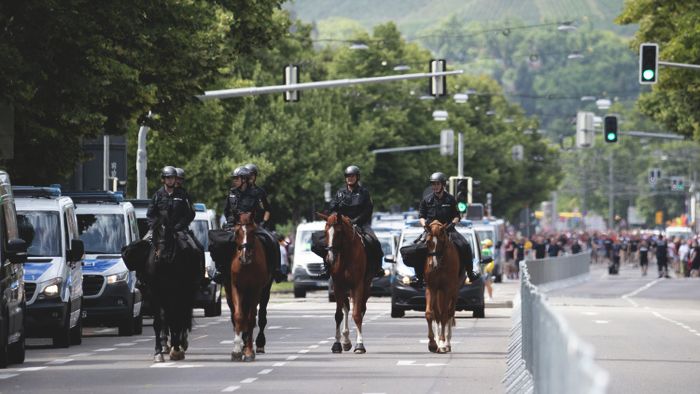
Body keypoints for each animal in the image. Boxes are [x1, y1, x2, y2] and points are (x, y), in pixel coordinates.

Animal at [224, 215, 270, 364]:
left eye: (252, 232)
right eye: (237, 232)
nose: (245, 256)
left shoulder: (255, 289)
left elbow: (250, 318)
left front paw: (249, 351)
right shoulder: (235, 287)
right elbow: (238, 316)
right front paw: (237, 351)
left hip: (264, 291)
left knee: (260, 316)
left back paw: (258, 344)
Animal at [318, 212, 372, 354]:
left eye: (339, 232)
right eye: (325, 232)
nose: (330, 258)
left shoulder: (358, 285)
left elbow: (357, 314)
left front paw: (360, 345)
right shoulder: (338, 286)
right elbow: (338, 315)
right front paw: (337, 344)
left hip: (365, 287)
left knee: (360, 309)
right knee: (346, 308)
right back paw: (346, 340)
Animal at [424, 220, 462, 352]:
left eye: (441, 242)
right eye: (427, 242)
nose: (432, 265)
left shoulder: (447, 289)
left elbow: (445, 315)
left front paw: (441, 343)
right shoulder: (431, 288)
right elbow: (430, 314)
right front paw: (432, 343)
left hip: (454, 292)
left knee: (450, 314)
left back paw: (447, 342)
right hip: (438, 293)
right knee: (438, 315)